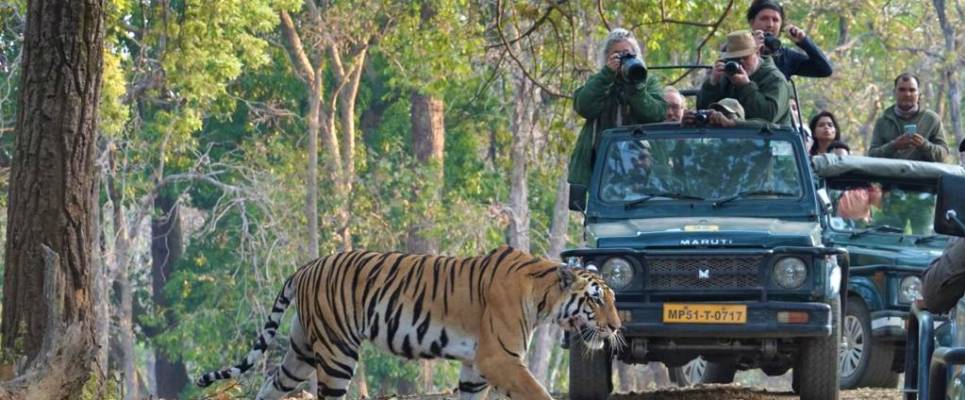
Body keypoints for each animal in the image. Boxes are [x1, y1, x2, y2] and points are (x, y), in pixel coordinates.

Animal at [196, 245, 621, 400]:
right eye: (596, 299)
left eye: (615, 299)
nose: (617, 327)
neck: (544, 295)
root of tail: (305, 267)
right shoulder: (499, 359)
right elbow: (538, 392)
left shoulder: (475, 367)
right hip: (336, 352)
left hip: (300, 351)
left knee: (272, 385)